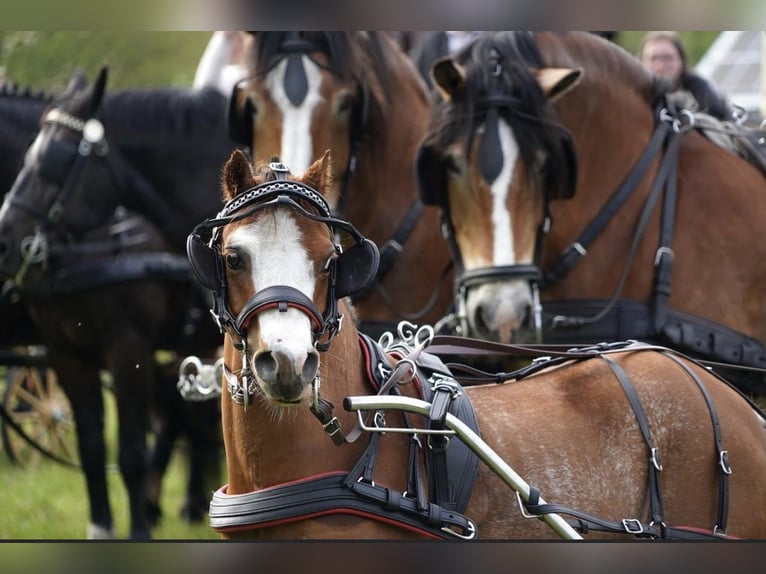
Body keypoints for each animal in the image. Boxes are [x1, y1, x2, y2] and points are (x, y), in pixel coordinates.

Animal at [0, 72, 234, 540]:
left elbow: (129, 450)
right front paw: (103, 527)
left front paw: (139, 529)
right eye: (26, 157)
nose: (4, 236)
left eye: (52, 163)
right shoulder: (66, 354)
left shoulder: (129, 351)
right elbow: (92, 447)